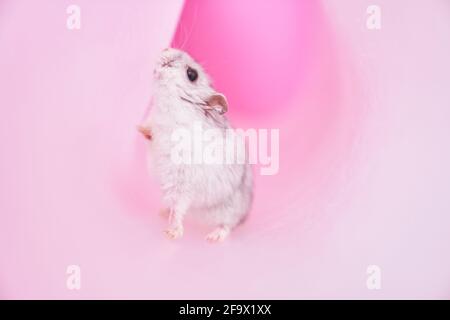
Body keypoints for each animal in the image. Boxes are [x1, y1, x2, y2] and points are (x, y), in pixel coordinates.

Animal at [138, 48, 253, 242]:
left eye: (192, 74)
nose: (165, 49)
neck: (169, 112)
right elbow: (150, 128)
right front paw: (140, 129)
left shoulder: (182, 182)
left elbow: (179, 207)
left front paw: (172, 233)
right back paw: (163, 212)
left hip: (230, 211)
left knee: (228, 225)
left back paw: (214, 237)